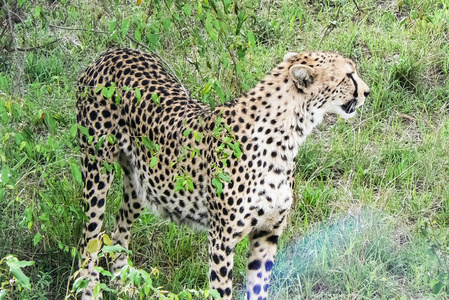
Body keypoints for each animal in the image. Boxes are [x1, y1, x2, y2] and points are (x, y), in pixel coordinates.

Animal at [77, 48, 370, 298]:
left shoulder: (267, 233)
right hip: (97, 169)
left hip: (143, 180)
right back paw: (90, 290)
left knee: (119, 230)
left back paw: (122, 284)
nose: (367, 92)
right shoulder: (221, 238)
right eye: (349, 74)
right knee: (88, 239)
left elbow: (258, 287)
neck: (287, 135)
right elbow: (222, 290)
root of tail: (114, 51)